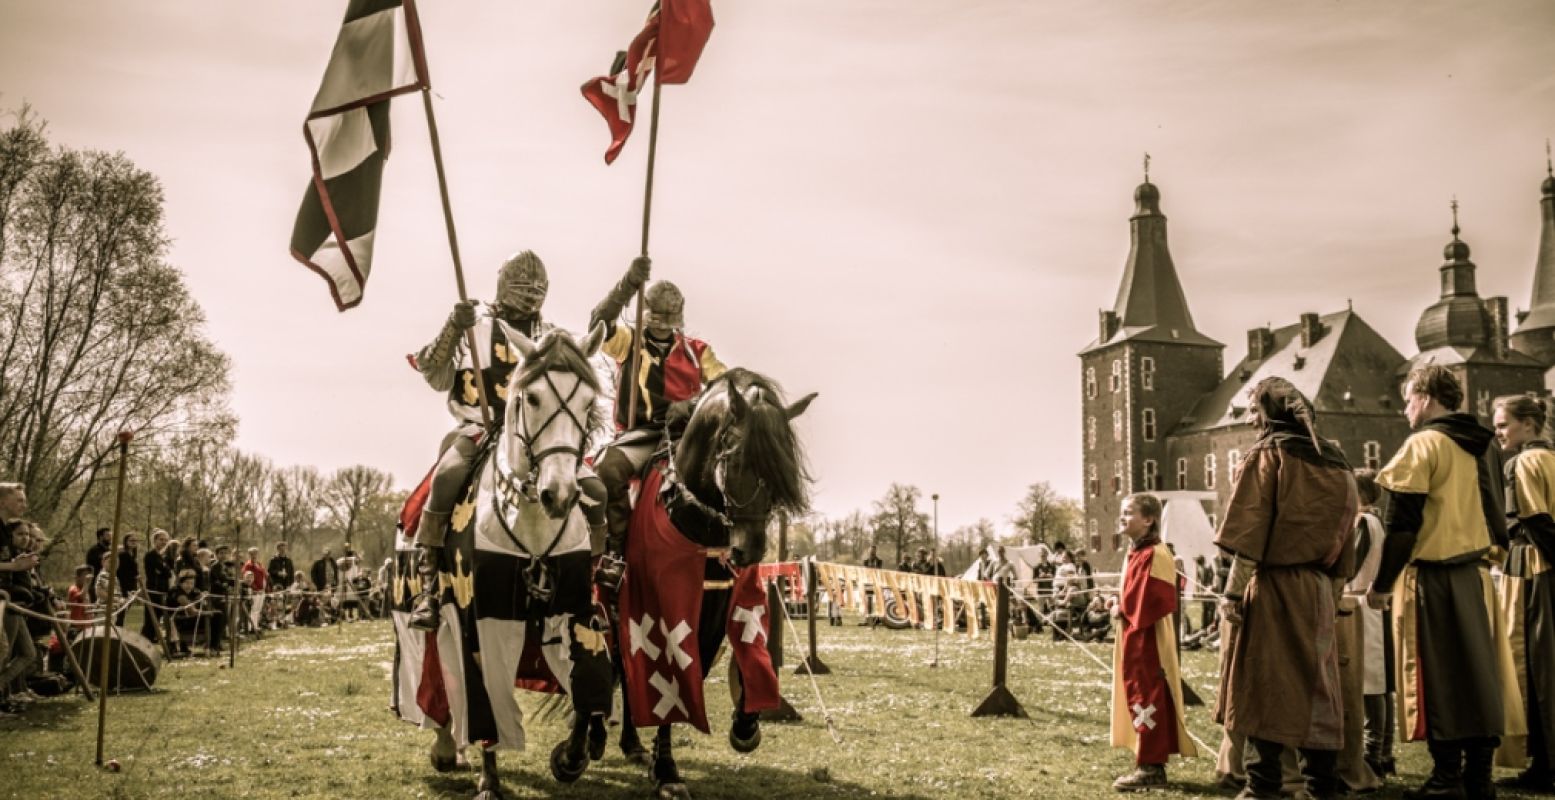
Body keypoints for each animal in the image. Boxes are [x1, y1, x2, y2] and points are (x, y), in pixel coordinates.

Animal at [615, 367, 821, 796]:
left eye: (780, 465)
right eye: (739, 458)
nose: (749, 550)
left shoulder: (718, 607)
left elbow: (740, 653)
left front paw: (746, 723)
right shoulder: (657, 614)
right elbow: (671, 681)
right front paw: (666, 771)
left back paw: (630, 744)